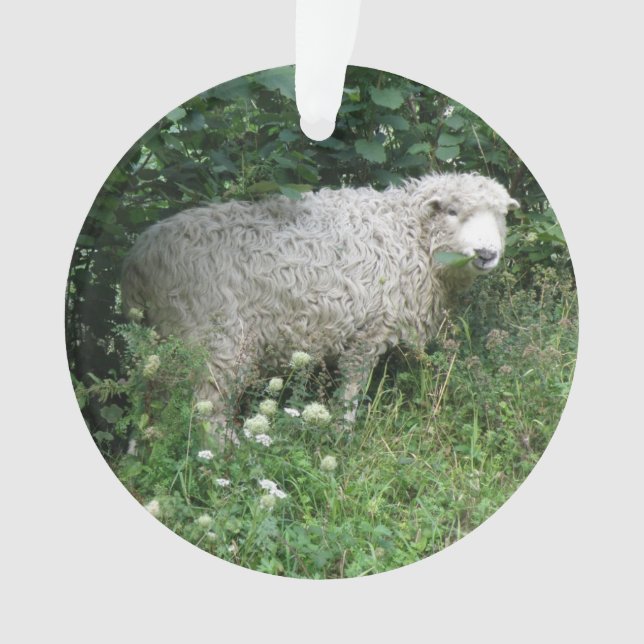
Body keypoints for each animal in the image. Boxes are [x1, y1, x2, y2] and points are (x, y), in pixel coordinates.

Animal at [121, 172, 519, 433]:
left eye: (501, 215)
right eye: (452, 211)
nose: (486, 254)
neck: (407, 234)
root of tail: (140, 259)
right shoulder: (367, 332)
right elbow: (351, 393)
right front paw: (343, 436)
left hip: (158, 341)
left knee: (146, 399)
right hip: (215, 339)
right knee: (207, 409)